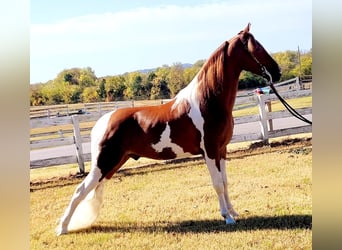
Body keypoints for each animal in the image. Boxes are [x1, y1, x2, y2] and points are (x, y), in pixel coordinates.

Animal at [56, 22, 280, 235]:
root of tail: (102, 122)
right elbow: (217, 183)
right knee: (80, 190)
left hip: (113, 164)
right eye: (257, 47)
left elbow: (224, 182)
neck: (208, 100)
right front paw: (227, 217)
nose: (277, 72)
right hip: (103, 164)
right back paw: (62, 228)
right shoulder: (209, 151)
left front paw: (233, 212)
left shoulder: (221, 151)